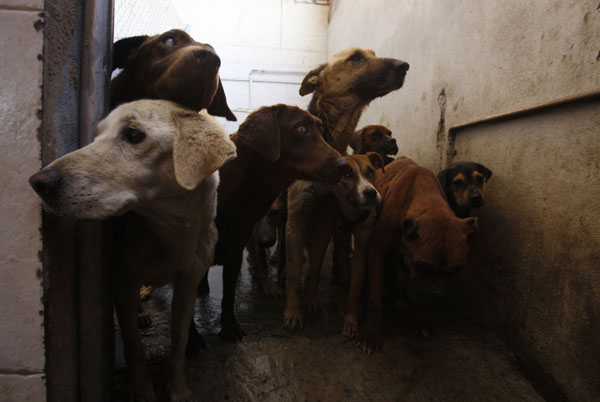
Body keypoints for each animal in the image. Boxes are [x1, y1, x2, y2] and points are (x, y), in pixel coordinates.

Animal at [29, 99, 237, 402]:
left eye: (134, 135)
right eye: (97, 135)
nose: (38, 181)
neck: (171, 233)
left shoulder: (188, 285)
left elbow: (179, 342)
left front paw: (178, 390)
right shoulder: (124, 283)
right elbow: (133, 348)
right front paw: (142, 391)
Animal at [282, 48, 408, 330]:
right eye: (357, 57)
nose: (405, 65)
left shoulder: (326, 217)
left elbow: (314, 268)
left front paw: (310, 302)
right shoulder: (298, 212)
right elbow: (294, 273)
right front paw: (293, 312)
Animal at [356, 159, 478, 354]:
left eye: (456, 270)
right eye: (423, 266)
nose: (437, 295)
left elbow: (414, 289)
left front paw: (419, 318)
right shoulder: (376, 248)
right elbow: (375, 299)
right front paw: (370, 333)